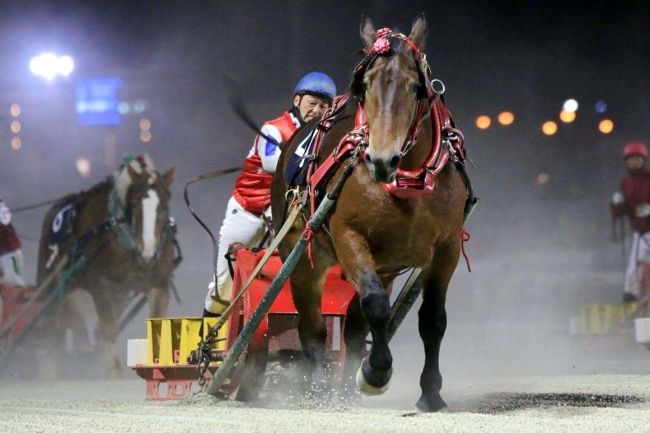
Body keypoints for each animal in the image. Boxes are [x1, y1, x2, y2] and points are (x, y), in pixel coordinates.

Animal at [35, 155, 176, 374]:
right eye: (134, 205)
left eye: (164, 205)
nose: (149, 254)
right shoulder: (100, 285)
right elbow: (108, 331)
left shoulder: (159, 283)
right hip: (54, 287)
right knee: (48, 332)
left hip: (118, 295)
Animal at [270, 14, 470, 412]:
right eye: (363, 86)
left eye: (415, 87)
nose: (381, 159)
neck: (407, 181)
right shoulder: (349, 237)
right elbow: (376, 306)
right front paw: (376, 373)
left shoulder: (446, 248)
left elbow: (432, 320)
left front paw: (430, 391)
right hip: (303, 258)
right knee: (312, 327)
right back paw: (319, 391)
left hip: (387, 267)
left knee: (353, 325)